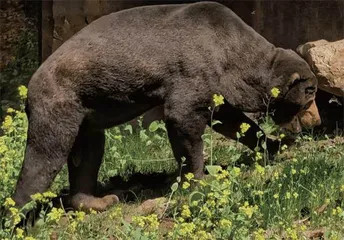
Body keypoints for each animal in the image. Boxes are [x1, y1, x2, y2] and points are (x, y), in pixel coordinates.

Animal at [12, 0, 320, 211]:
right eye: (311, 93)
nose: (316, 121)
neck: (232, 56)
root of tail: (31, 83)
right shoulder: (192, 70)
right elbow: (184, 120)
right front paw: (199, 179)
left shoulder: (215, 84)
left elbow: (232, 120)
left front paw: (275, 146)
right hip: (60, 102)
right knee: (44, 158)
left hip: (88, 113)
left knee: (88, 155)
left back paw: (101, 200)